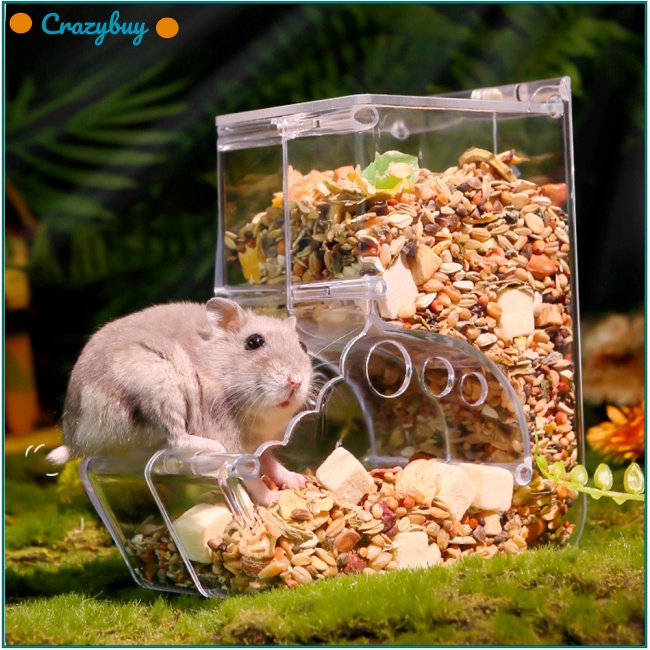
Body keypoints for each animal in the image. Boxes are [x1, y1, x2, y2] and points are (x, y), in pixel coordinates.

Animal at [47, 298, 313, 501]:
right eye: (254, 342)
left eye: (303, 345)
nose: (295, 382)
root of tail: (74, 439)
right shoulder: (235, 446)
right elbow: (252, 476)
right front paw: (274, 499)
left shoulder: (260, 443)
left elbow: (270, 461)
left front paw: (298, 480)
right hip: (162, 386)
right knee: (176, 437)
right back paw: (211, 447)